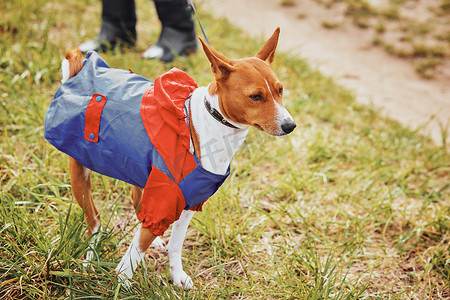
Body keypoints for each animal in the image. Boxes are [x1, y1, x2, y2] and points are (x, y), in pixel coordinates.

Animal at [62, 27, 296, 288]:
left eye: (280, 90)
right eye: (255, 96)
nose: (290, 125)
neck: (212, 124)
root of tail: (77, 73)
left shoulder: (189, 201)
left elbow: (175, 244)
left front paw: (176, 276)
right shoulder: (166, 198)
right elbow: (134, 253)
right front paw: (120, 284)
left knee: (136, 200)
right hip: (80, 173)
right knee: (94, 222)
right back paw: (90, 257)